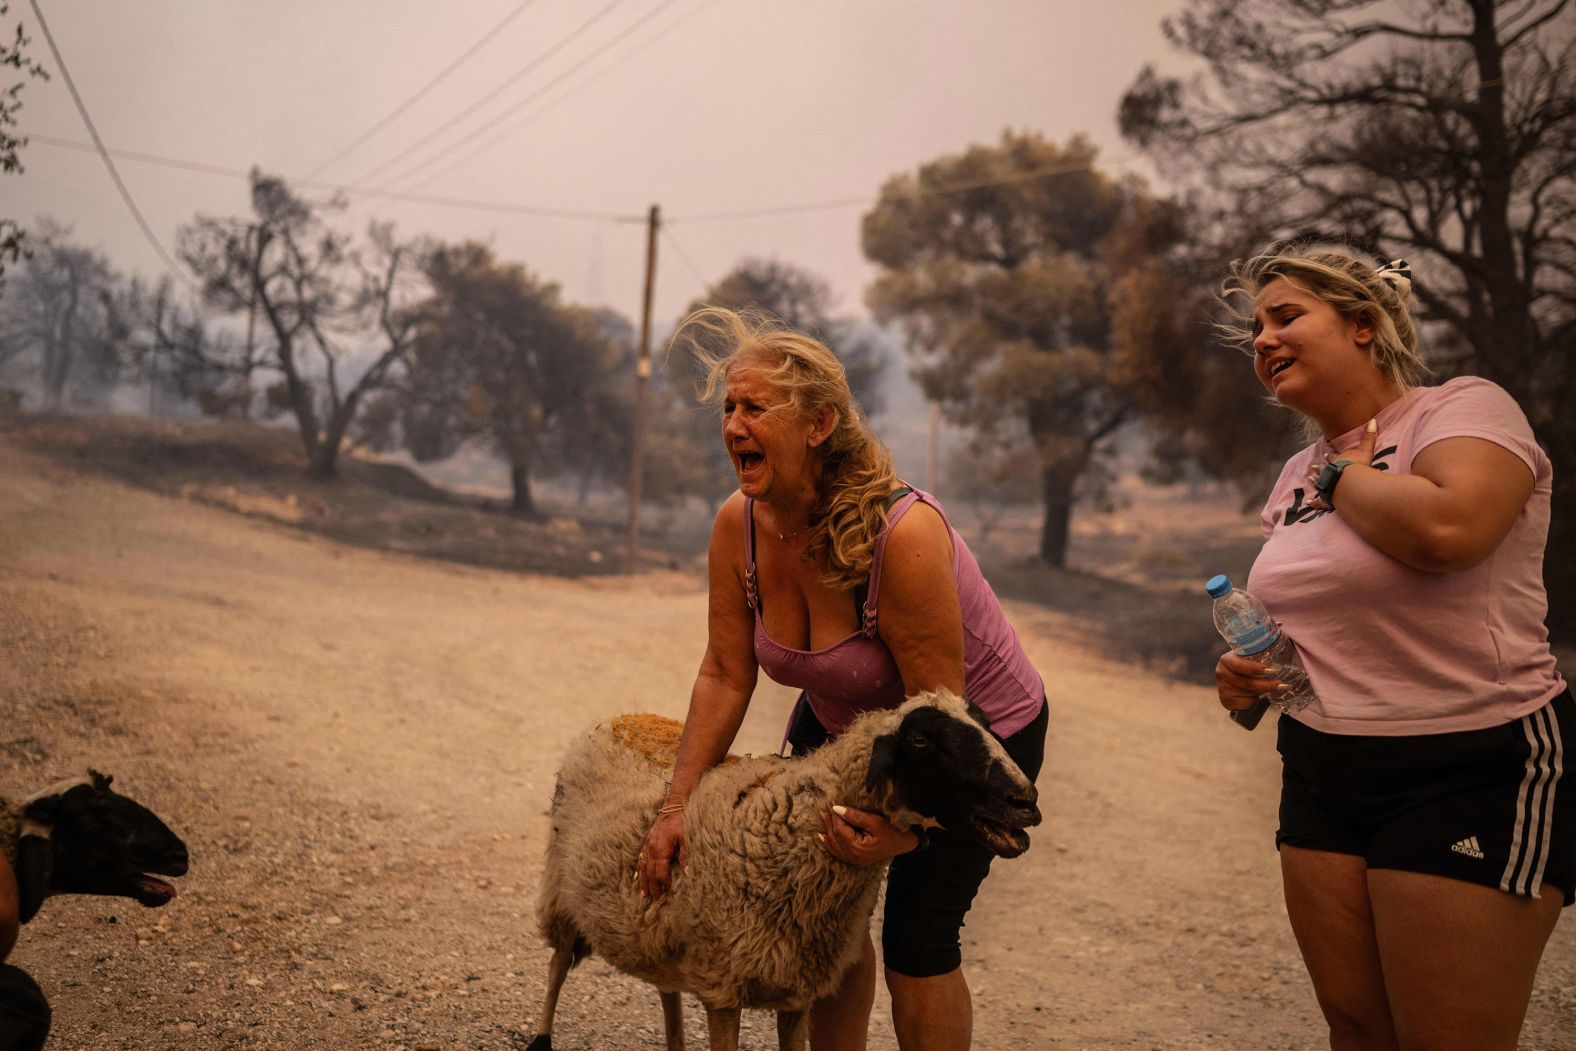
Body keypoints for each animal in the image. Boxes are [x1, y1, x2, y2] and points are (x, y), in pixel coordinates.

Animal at [532, 690, 1046, 1051]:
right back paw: (541, 1038)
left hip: (656, 928)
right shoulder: (722, 986)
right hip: (561, 890)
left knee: (665, 988)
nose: (1025, 801)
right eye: (921, 740)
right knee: (557, 965)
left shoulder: (798, 989)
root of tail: (623, 718)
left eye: (987, 725)